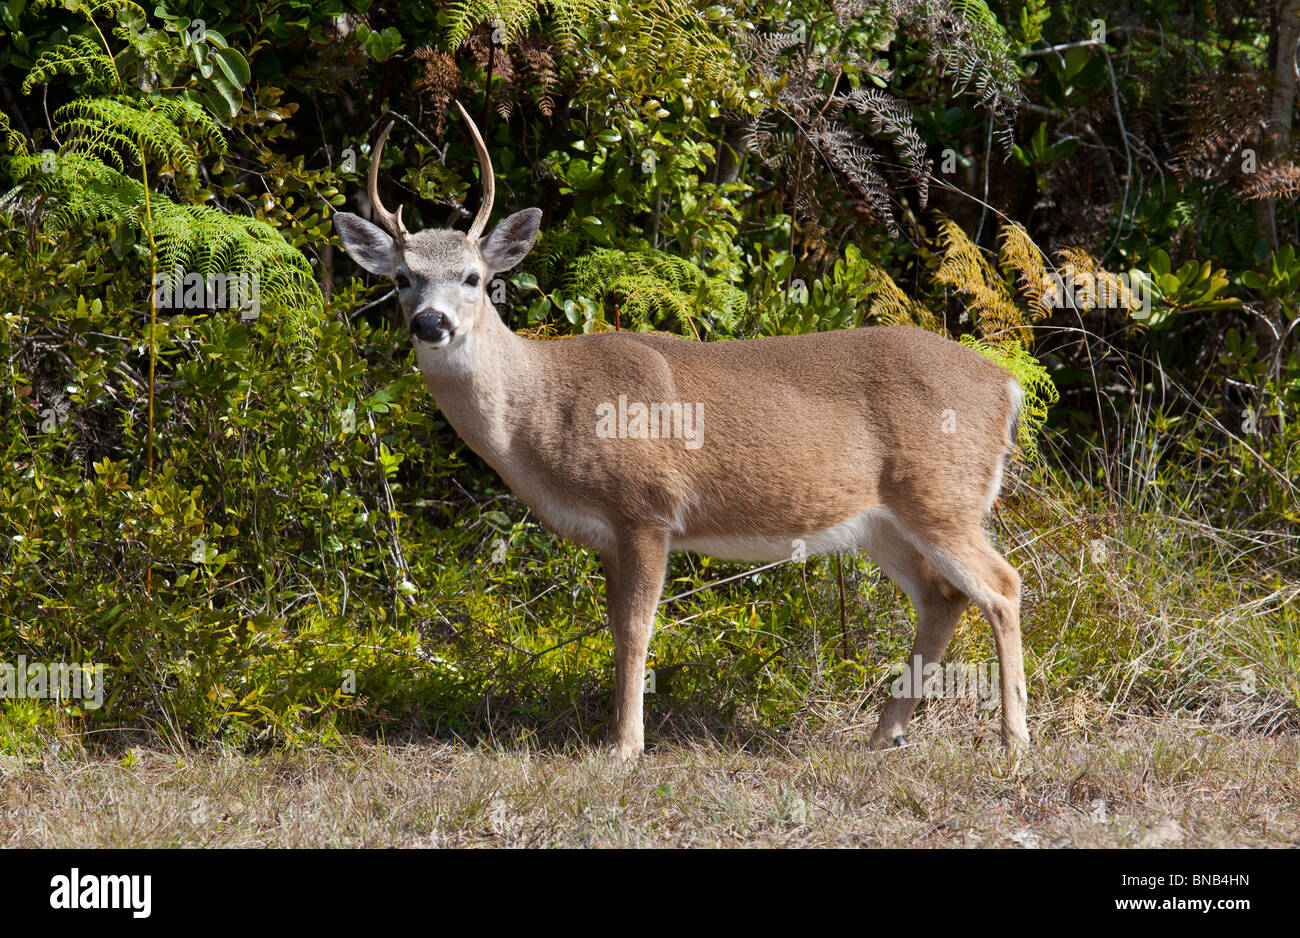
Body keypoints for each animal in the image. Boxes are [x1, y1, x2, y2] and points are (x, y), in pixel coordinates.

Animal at [335, 103, 1034, 758]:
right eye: (402, 278)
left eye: (474, 278)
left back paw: (1013, 741)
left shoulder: (646, 507)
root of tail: (1007, 386)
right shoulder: (609, 532)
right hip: (883, 520)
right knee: (943, 596)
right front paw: (619, 736)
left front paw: (624, 746)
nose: (431, 323)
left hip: (940, 495)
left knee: (1003, 585)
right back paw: (883, 736)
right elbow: (618, 624)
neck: (544, 408)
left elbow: (634, 628)